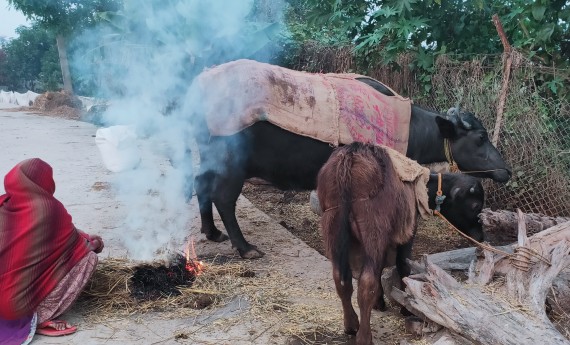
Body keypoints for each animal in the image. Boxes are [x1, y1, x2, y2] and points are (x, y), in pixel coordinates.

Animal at [184, 59, 508, 258]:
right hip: (231, 164)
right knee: (223, 198)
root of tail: (199, 88)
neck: (410, 126)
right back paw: (245, 247)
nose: (505, 170)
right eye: (480, 138)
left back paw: (212, 232)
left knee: (201, 186)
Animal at [316, 141, 484, 342]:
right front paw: (406, 306)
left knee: (341, 278)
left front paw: (379, 302)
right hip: (373, 229)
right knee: (366, 282)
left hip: (333, 226)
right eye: (475, 205)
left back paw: (351, 325)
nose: (481, 237)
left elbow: (381, 268)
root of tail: (349, 157)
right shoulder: (408, 232)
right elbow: (403, 266)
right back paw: (364, 336)